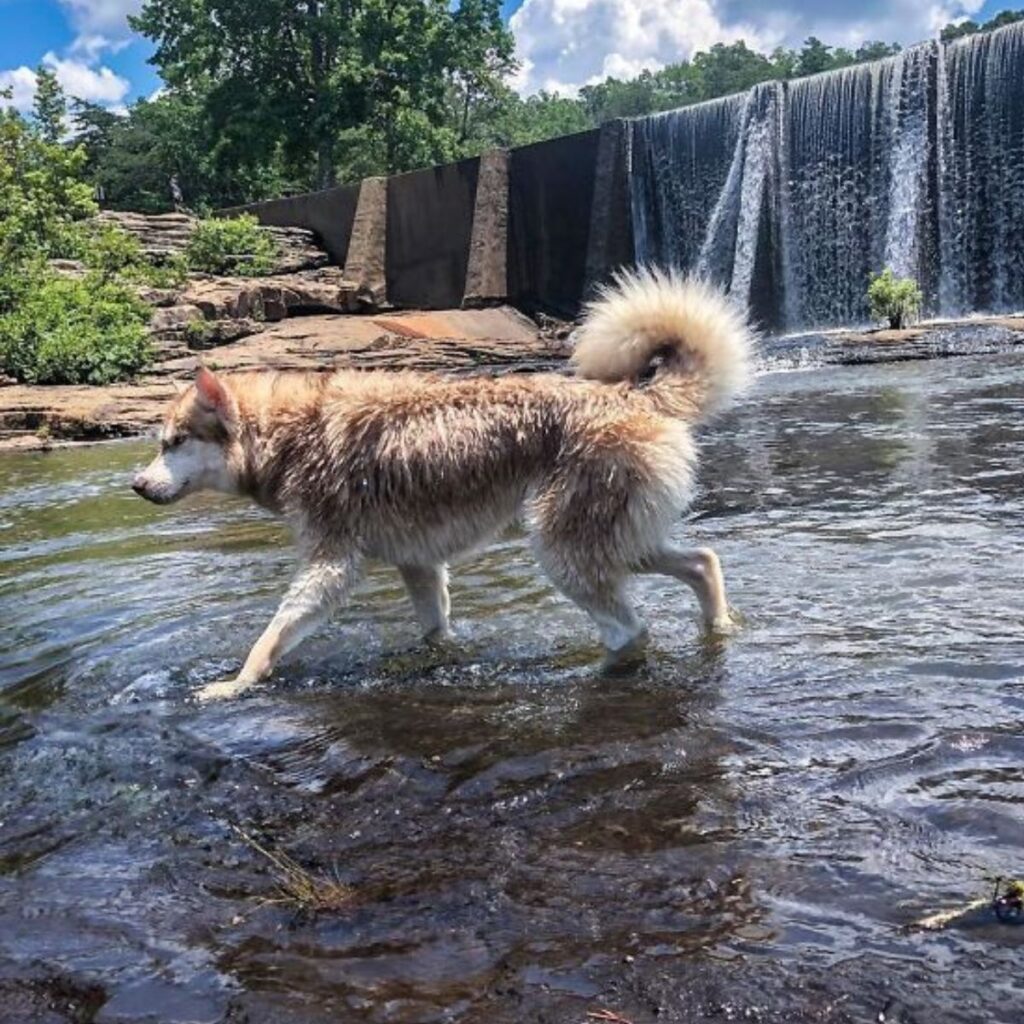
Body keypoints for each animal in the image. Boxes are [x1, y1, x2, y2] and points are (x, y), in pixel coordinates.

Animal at [132, 268, 753, 700]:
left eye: (174, 442)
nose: (137, 485)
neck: (287, 435)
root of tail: (631, 394)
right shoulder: (419, 564)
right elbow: (434, 630)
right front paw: (437, 659)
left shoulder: (330, 565)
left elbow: (272, 636)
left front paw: (236, 684)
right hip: (617, 540)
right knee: (703, 561)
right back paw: (719, 625)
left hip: (564, 551)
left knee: (632, 628)